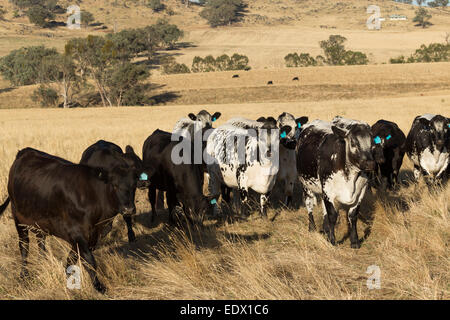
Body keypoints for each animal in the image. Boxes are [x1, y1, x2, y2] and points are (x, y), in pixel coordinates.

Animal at [0, 148, 138, 292]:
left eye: (134, 185)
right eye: (115, 185)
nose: (128, 209)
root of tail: (25, 151)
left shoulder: (91, 235)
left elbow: (72, 258)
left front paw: (68, 277)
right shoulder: (77, 233)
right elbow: (89, 260)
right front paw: (98, 286)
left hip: (39, 221)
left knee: (40, 241)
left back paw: (42, 261)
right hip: (19, 219)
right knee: (24, 246)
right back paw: (24, 275)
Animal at [298, 117, 380, 248]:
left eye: (372, 144)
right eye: (353, 143)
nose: (370, 164)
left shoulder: (360, 192)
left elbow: (353, 216)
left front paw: (354, 241)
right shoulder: (328, 192)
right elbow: (332, 215)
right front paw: (332, 241)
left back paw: (326, 230)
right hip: (306, 186)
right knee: (309, 205)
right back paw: (312, 228)